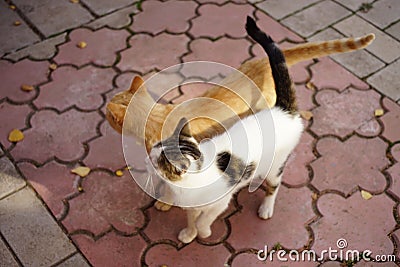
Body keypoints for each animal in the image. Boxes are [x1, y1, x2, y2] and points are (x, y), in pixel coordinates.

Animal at [147, 15, 304, 244]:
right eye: (157, 146)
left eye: (156, 159)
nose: (148, 154)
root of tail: (282, 110)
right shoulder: (192, 206)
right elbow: (192, 218)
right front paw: (189, 233)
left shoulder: (221, 202)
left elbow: (204, 219)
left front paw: (203, 231)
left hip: (276, 166)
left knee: (274, 185)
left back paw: (266, 208)